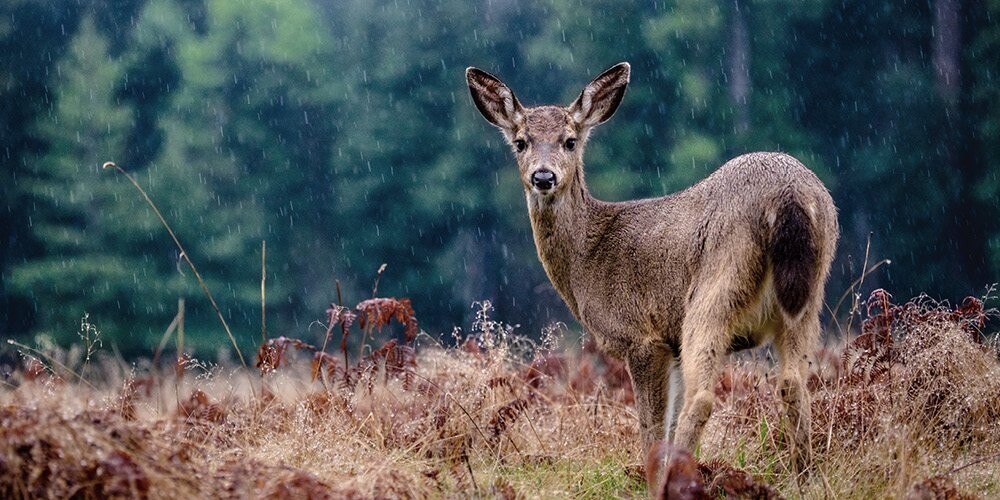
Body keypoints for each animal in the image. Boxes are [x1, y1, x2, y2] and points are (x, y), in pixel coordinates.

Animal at [465, 62, 838, 473]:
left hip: (716, 287)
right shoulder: (670, 344)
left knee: (703, 397)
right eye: (521, 142)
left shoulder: (641, 336)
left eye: (570, 141)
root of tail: (788, 196)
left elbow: (651, 430)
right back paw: (804, 475)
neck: (586, 258)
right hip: (809, 294)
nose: (543, 176)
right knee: (793, 382)